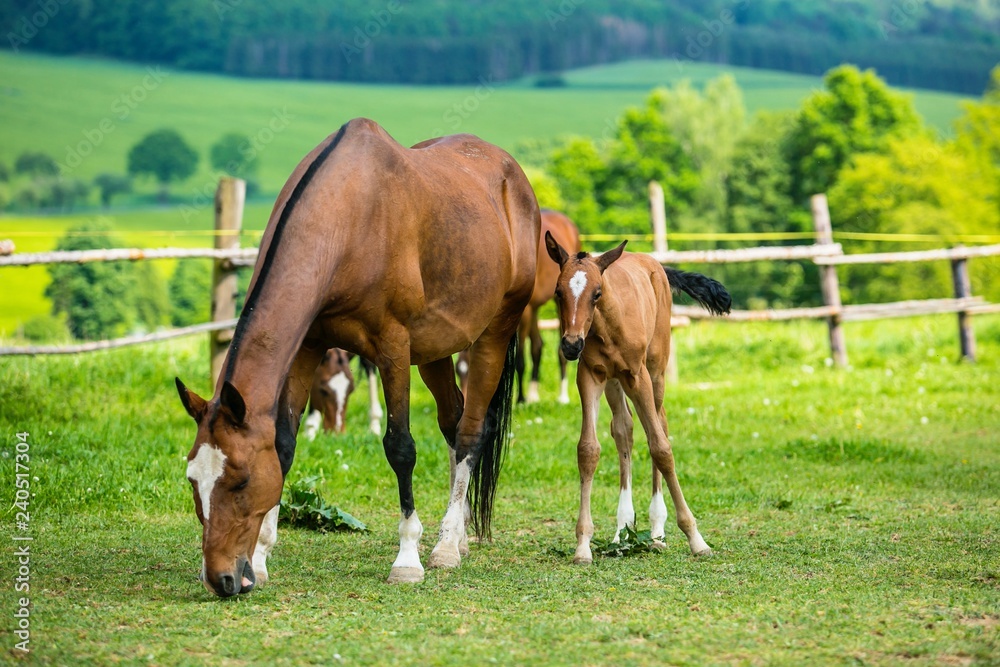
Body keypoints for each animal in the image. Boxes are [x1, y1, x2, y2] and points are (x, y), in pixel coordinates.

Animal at [179, 118, 540, 596]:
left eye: (240, 481)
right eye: (193, 481)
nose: (221, 579)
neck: (348, 220)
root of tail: (513, 177)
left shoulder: (393, 347)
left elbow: (400, 447)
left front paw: (407, 558)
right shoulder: (308, 346)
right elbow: (284, 445)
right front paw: (260, 557)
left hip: (494, 333)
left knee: (470, 432)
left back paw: (445, 548)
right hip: (434, 350)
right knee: (453, 421)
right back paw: (458, 534)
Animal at [544, 232, 732, 568]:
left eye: (597, 293)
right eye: (558, 292)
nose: (571, 345)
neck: (608, 324)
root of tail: (653, 262)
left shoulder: (638, 375)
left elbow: (661, 448)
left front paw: (696, 539)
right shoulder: (590, 377)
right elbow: (588, 450)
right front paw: (583, 545)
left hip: (655, 370)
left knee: (659, 423)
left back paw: (657, 531)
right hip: (614, 383)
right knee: (624, 430)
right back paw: (623, 530)